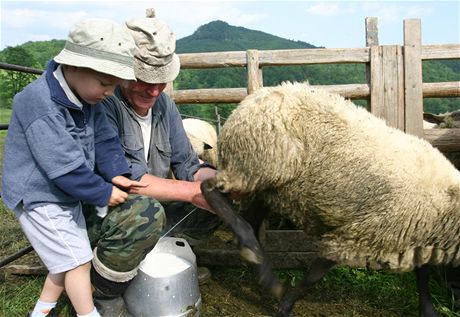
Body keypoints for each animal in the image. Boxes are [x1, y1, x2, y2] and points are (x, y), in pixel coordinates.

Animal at [200, 82, 460, 316]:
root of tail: (251, 100)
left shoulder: (418, 237)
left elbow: (423, 276)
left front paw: (428, 310)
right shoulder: (358, 235)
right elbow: (313, 276)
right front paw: (286, 306)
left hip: (269, 186)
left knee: (248, 220)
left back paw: (256, 262)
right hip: (254, 166)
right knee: (209, 189)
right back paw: (260, 264)